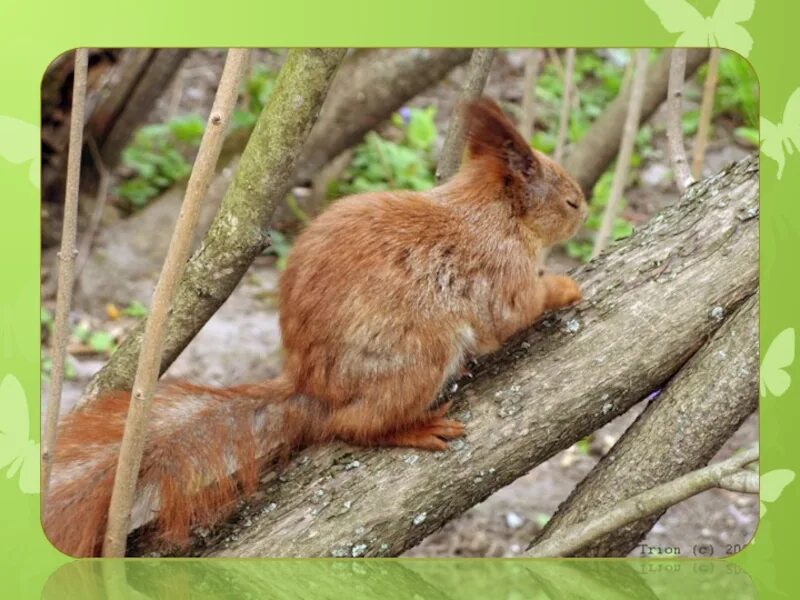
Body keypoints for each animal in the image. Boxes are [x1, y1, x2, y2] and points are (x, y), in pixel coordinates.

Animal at [43, 96, 588, 556]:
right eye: (570, 202)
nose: (583, 210)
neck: (493, 212)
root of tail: (312, 389)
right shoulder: (499, 269)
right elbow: (511, 314)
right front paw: (564, 287)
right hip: (418, 356)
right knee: (353, 426)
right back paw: (416, 428)